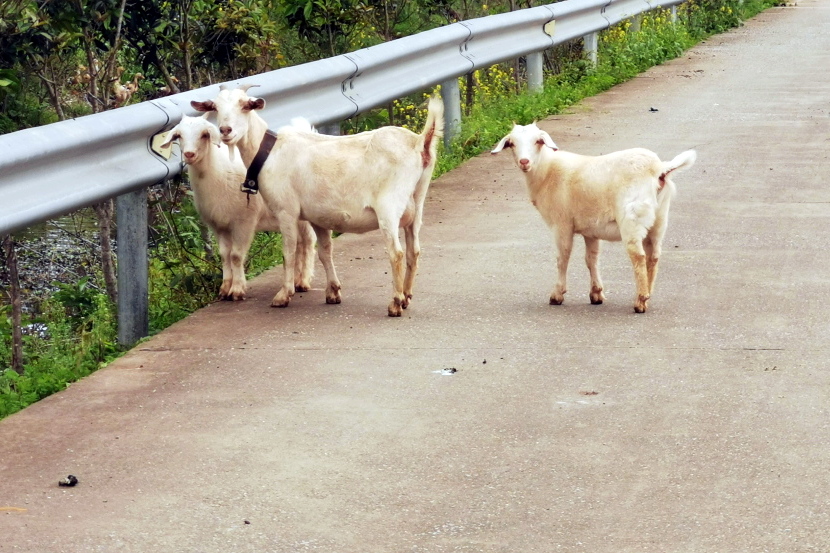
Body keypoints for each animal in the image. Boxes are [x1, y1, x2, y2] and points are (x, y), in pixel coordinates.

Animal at [160, 114, 316, 301]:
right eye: (179, 135)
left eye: (204, 135)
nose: (189, 154)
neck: (216, 173)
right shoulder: (219, 226)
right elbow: (224, 255)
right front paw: (225, 288)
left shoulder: (244, 221)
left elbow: (235, 255)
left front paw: (237, 290)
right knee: (299, 243)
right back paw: (296, 280)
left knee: (308, 241)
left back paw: (304, 281)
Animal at [191, 85, 444, 317]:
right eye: (215, 108)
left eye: (245, 105)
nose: (226, 130)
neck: (270, 151)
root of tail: (420, 142)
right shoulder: (318, 216)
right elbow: (324, 252)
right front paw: (333, 292)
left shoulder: (286, 211)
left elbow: (289, 252)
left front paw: (283, 295)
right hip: (416, 203)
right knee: (414, 251)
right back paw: (407, 296)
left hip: (389, 206)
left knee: (396, 253)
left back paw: (395, 303)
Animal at [492, 122, 696, 313]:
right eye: (512, 143)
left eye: (537, 141)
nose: (524, 161)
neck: (547, 171)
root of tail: (659, 169)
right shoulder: (591, 229)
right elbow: (592, 259)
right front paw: (596, 293)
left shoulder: (562, 224)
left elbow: (562, 257)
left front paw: (557, 295)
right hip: (659, 219)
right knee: (653, 256)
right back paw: (648, 295)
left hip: (632, 218)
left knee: (638, 256)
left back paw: (640, 301)